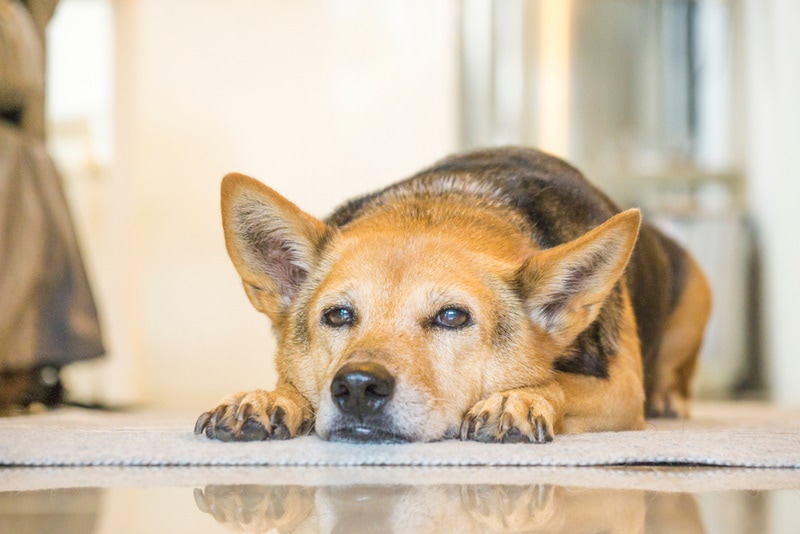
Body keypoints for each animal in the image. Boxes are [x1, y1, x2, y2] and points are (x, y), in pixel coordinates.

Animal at [195, 147, 712, 444]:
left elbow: (559, 382)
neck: (451, 201)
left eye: (452, 317)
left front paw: (515, 399)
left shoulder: (621, 388)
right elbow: (292, 380)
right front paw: (268, 398)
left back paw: (670, 398)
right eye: (338, 315)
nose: (358, 387)